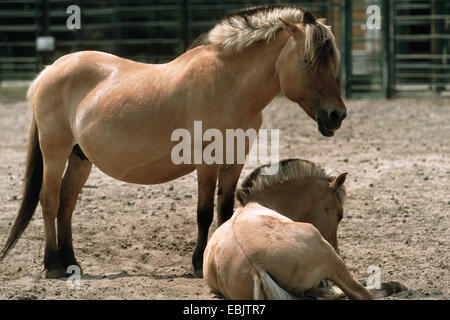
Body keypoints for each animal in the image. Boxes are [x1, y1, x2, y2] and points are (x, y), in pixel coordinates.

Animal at [0, 5, 344, 280]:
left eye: (332, 62)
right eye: (308, 61)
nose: (336, 115)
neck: (229, 84)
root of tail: (49, 70)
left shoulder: (234, 161)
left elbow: (225, 211)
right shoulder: (208, 163)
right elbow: (204, 213)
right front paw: (197, 263)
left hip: (80, 158)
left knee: (66, 205)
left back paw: (72, 263)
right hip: (55, 153)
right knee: (49, 201)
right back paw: (54, 266)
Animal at [205, 160, 408, 300]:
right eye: (339, 215)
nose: (337, 250)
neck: (255, 204)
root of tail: (257, 267)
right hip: (329, 257)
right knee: (360, 292)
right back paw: (395, 285)